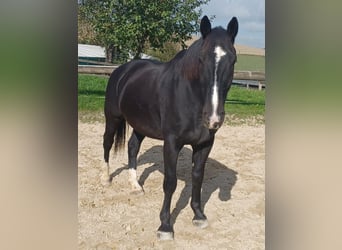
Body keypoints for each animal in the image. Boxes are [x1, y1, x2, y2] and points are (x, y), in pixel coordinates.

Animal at [103, 15, 239, 240]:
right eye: (201, 59)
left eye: (233, 59)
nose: (213, 118)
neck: (189, 96)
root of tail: (123, 70)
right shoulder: (172, 143)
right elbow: (170, 182)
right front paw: (165, 226)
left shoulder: (205, 144)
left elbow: (198, 177)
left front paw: (198, 215)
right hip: (112, 118)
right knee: (107, 143)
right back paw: (105, 179)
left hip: (140, 125)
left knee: (132, 147)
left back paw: (135, 186)